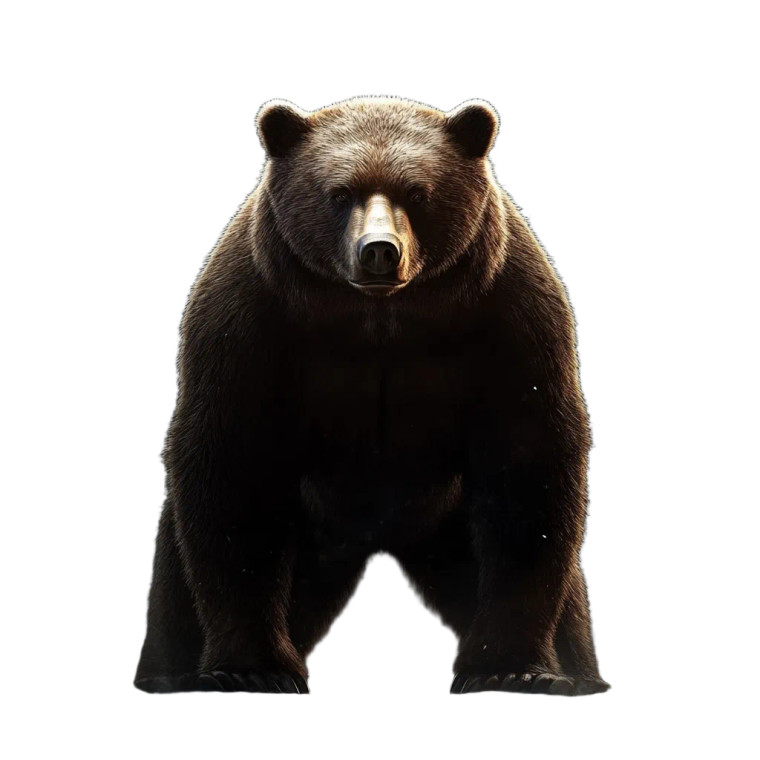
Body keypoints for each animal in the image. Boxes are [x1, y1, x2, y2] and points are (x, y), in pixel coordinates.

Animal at [134, 97, 609, 696]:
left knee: (570, 602)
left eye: (418, 193)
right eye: (339, 194)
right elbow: (234, 471)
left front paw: (510, 665)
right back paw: (169, 672)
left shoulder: (511, 317)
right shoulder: (248, 322)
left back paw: (579, 672)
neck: (379, 318)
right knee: (175, 582)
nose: (380, 252)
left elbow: (528, 463)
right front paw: (253, 666)